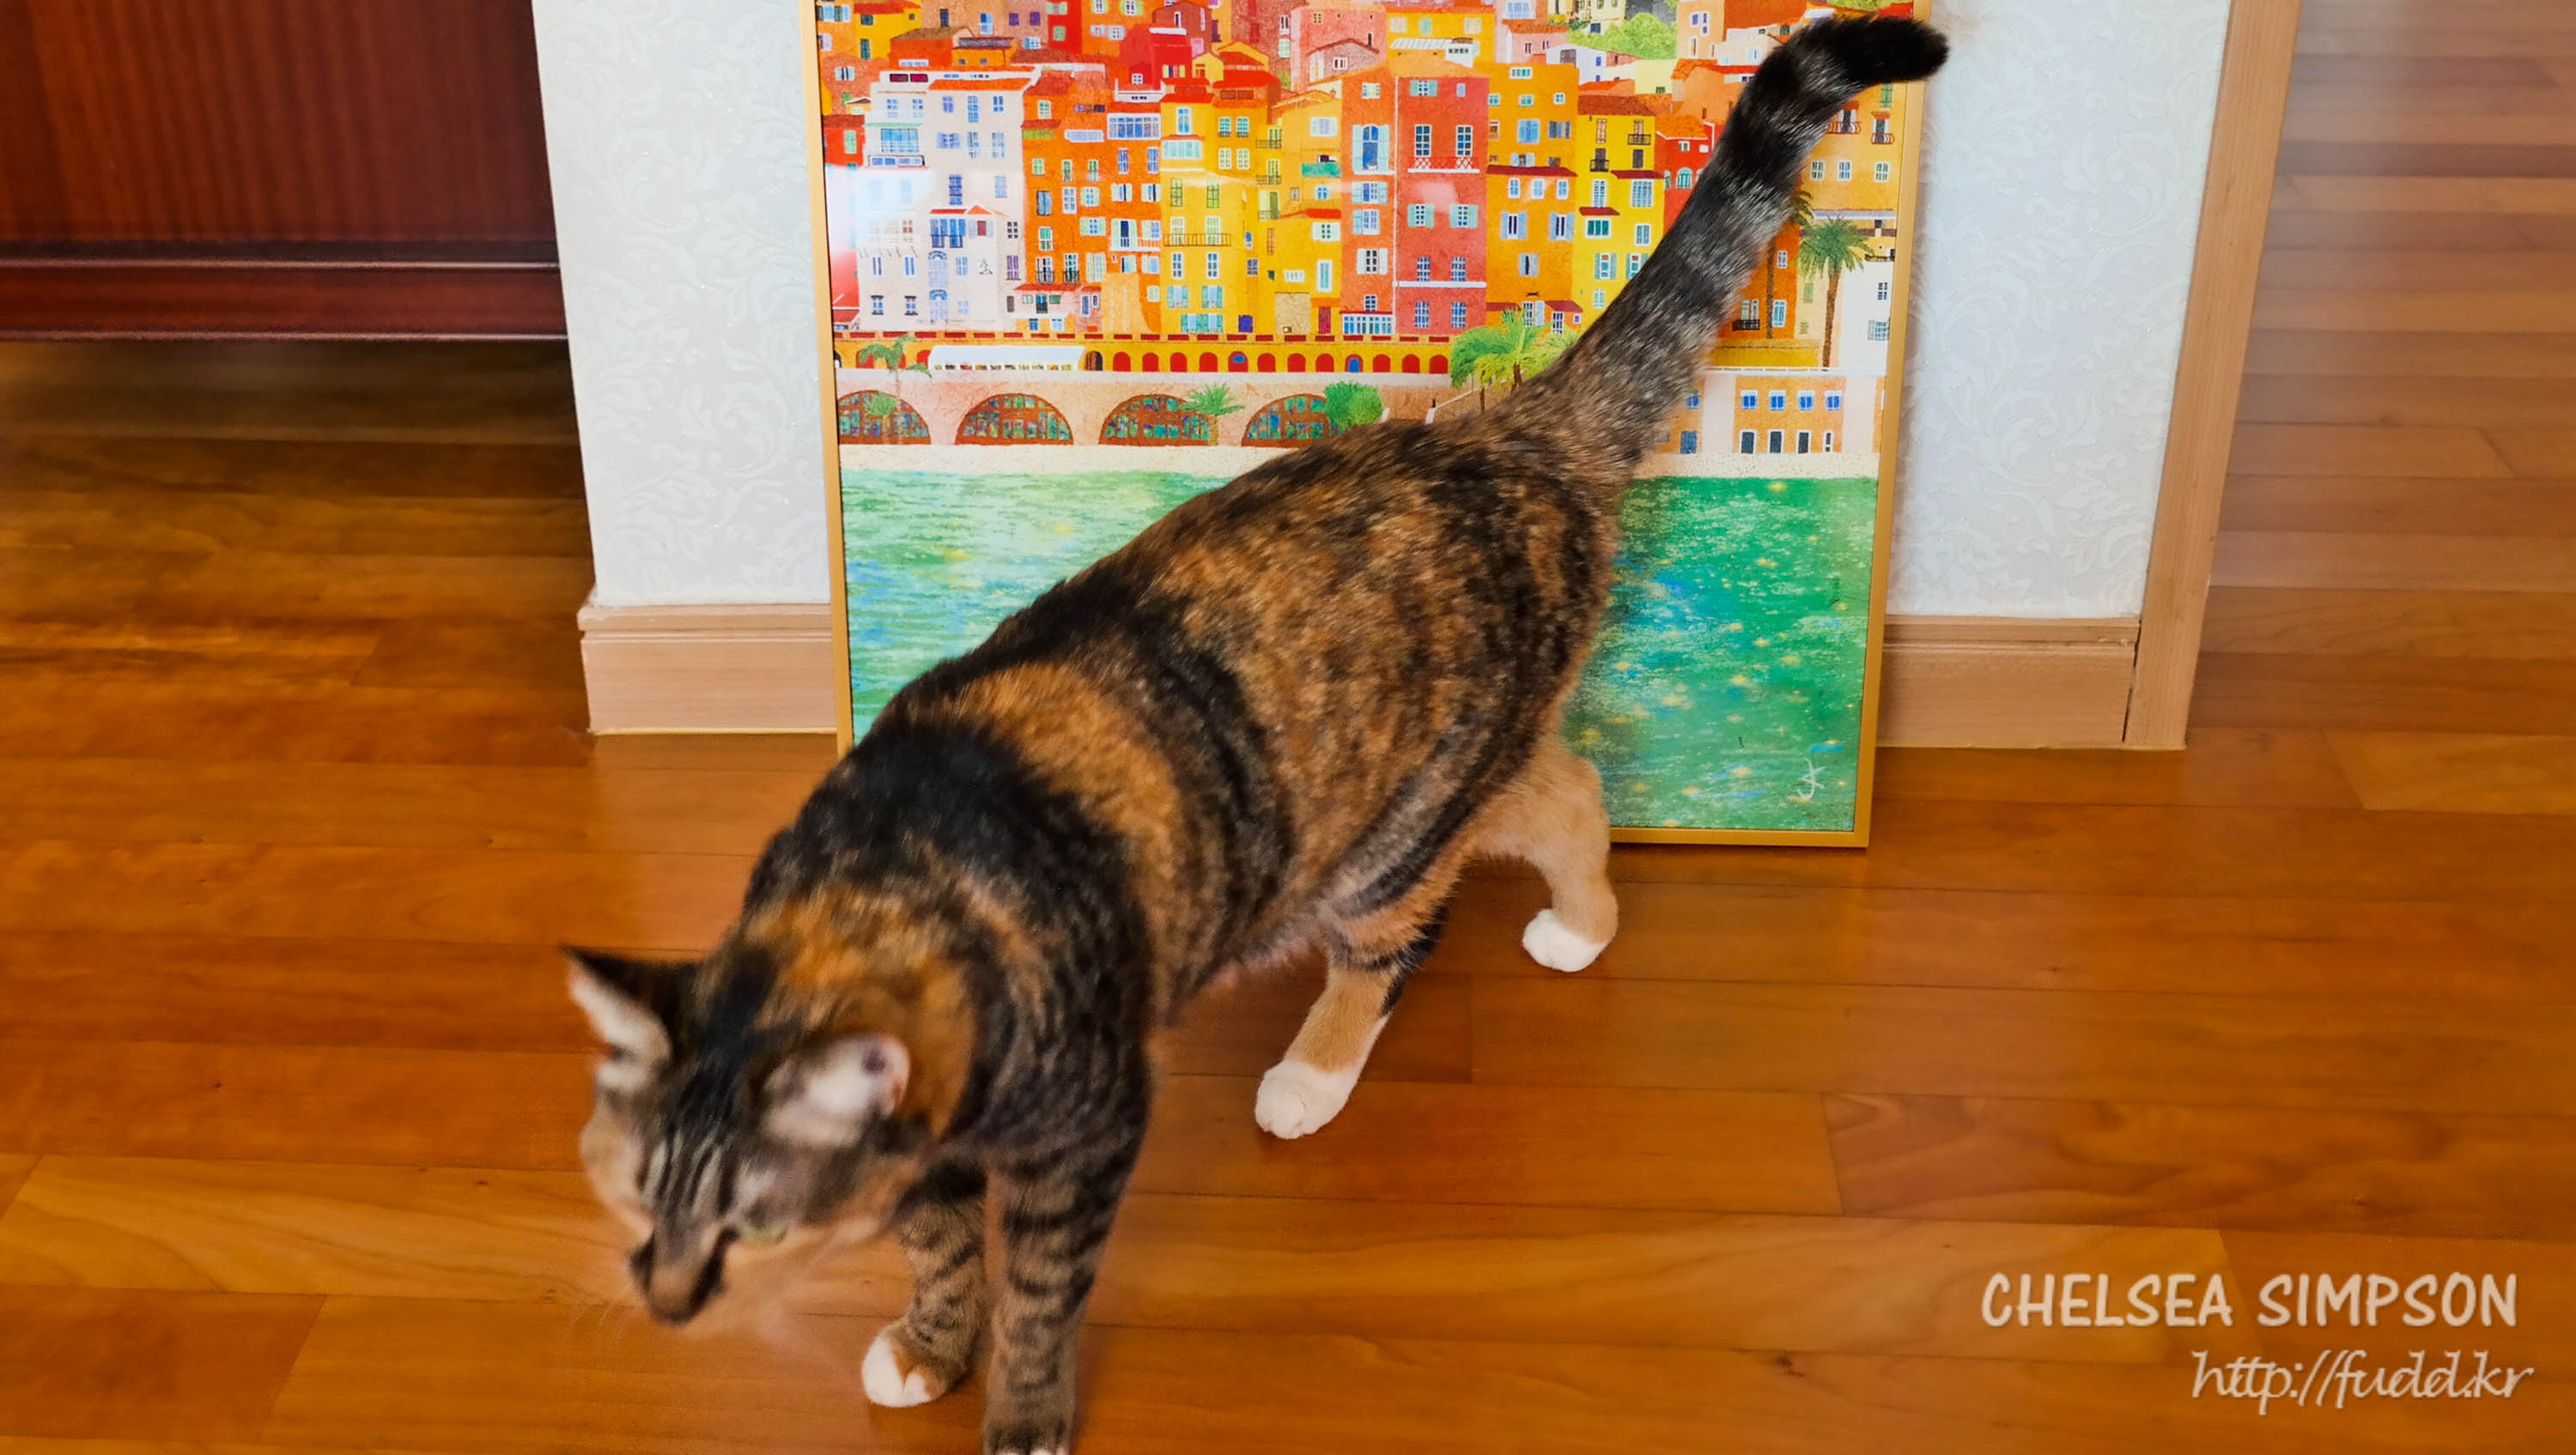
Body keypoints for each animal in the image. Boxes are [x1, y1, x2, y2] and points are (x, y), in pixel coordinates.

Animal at [568, 17, 1945, 1454]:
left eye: (752, 1221)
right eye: (640, 1199)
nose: (662, 1295)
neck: (892, 886)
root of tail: (1505, 432)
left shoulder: (1085, 1130)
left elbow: (1039, 1291)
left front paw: (1022, 1407)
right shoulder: (927, 1161)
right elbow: (943, 1251)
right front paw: (927, 1345)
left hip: (1390, 827)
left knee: (1404, 931)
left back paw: (1322, 1068)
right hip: (1449, 775)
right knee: (1570, 783)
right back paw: (1578, 920)